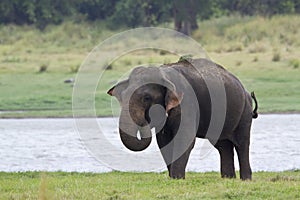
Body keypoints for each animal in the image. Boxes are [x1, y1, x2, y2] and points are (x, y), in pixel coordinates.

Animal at [108, 57, 258, 180]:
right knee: (223, 146)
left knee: (242, 144)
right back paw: (228, 179)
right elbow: (164, 141)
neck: (164, 74)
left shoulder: (187, 102)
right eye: (122, 97)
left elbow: (184, 138)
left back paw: (245, 179)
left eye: (147, 98)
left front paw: (177, 178)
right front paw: (172, 178)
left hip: (244, 111)